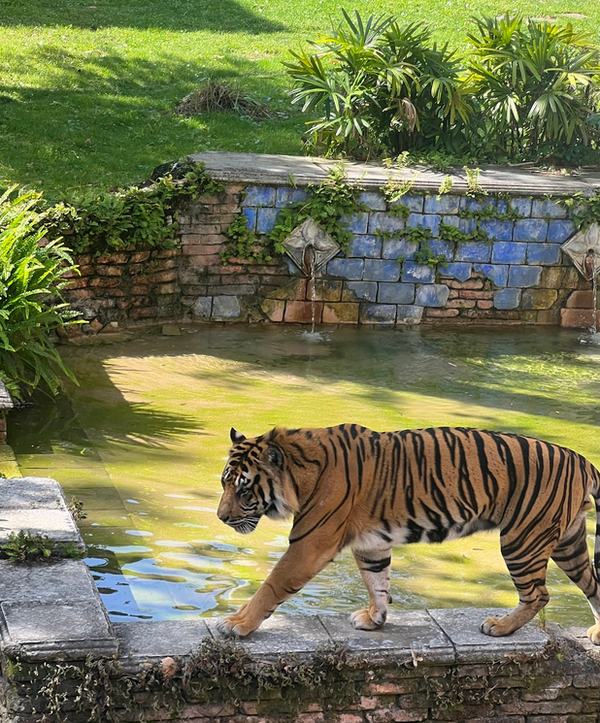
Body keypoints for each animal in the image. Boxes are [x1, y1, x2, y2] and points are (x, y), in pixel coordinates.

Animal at [215, 424, 600, 643]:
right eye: (223, 483)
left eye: (244, 490)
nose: (221, 517)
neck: (299, 473)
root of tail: (581, 459)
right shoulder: (371, 544)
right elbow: (378, 583)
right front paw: (375, 619)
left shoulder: (310, 543)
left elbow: (272, 585)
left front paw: (236, 624)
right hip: (568, 544)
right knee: (593, 585)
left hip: (522, 539)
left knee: (538, 594)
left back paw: (501, 627)